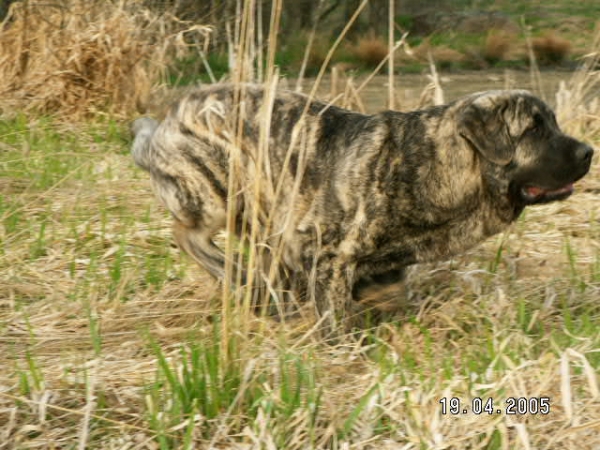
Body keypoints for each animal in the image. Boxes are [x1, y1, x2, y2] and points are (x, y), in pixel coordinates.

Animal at [129, 83, 592, 338]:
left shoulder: (381, 269)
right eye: (533, 129)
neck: (437, 163)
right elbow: (334, 317)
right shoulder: (326, 252)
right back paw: (234, 274)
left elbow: (387, 293)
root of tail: (162, 122)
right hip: (217, 188)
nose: (589, 151)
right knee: (186, 234)